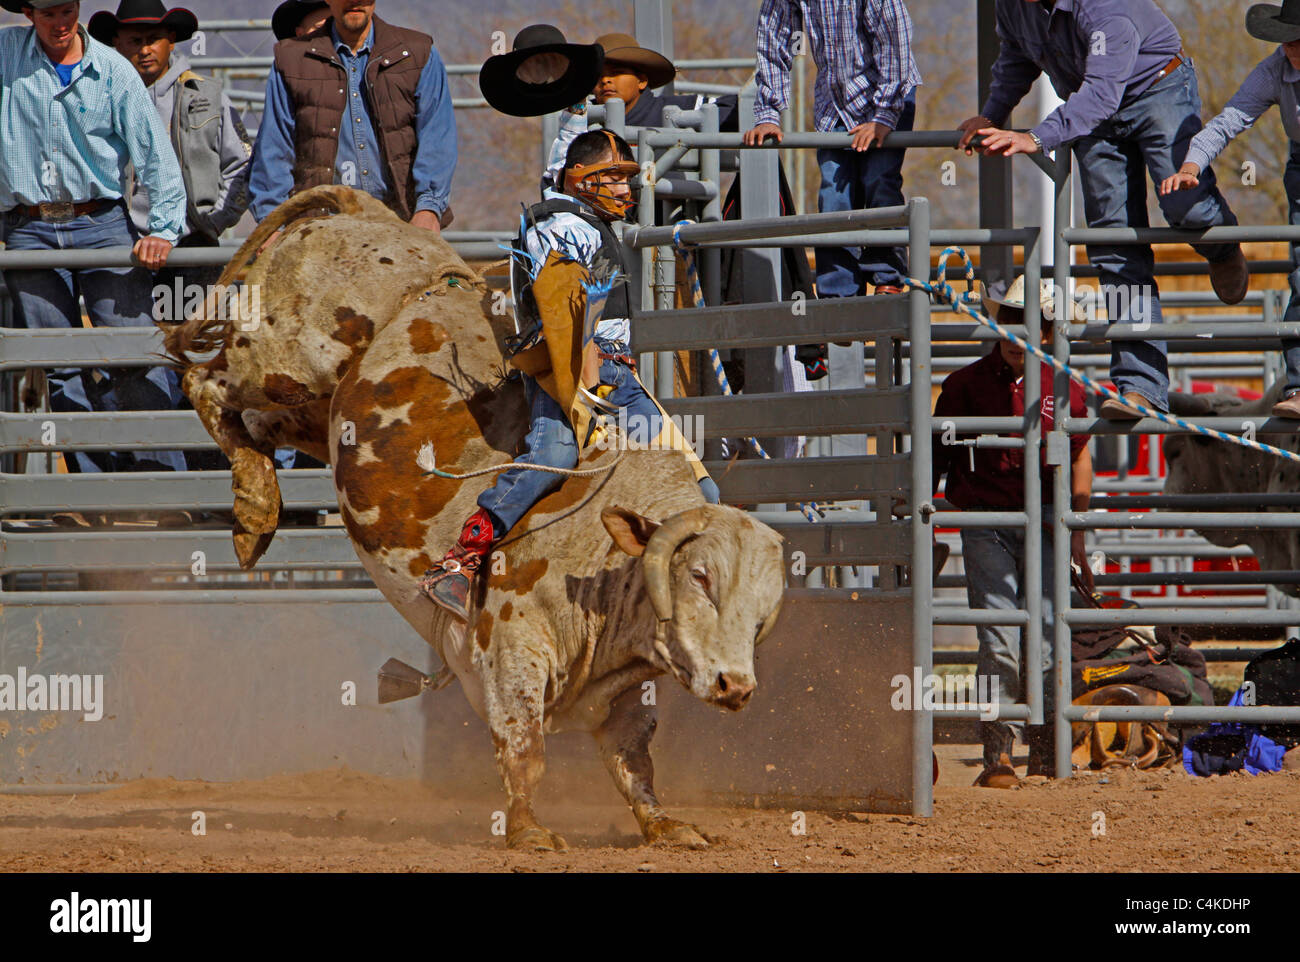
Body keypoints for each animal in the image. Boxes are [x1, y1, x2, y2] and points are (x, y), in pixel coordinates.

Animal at [167, 185, 785, 847]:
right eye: (699, 577)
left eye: (761, 609)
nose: (736, 687)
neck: (605, 566)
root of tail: (362, 213)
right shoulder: (510, 647)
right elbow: (524, 747)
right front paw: (529, 831)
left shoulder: (625, 693)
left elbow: (633, 763)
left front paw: (664, 825)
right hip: (278, 362)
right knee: (205, 381)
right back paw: (255, 511)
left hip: (310, 410)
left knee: (253, 425)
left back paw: (256, 507)